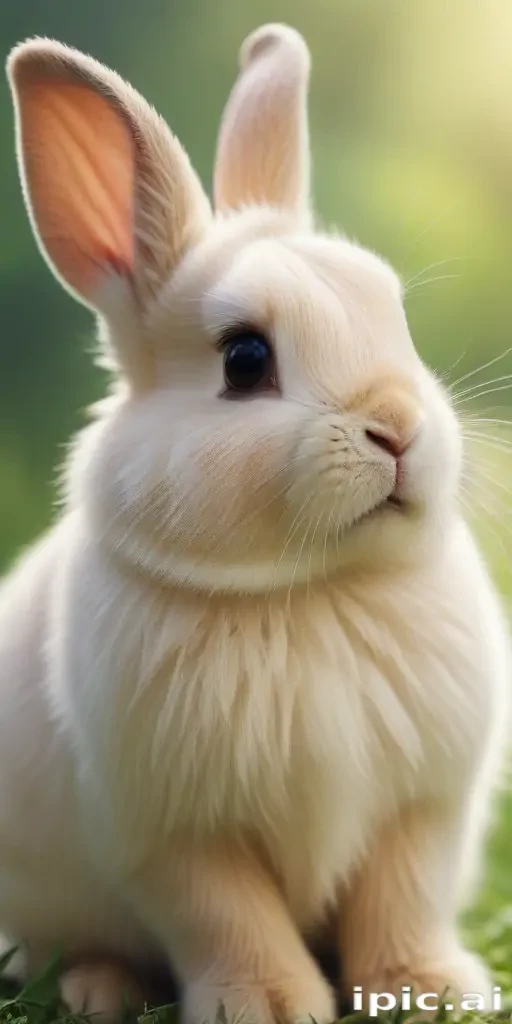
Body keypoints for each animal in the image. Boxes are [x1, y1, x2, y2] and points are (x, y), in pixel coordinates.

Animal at [0, 19, 509, 1024]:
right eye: (244, 360)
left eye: (395, 316)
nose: (399, 426)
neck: (309, 591)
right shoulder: (177, 835)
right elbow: (228, 917)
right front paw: (267, 1004)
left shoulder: (424, 809)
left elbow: (403, 901)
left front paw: (428, 989)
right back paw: (96, 987)